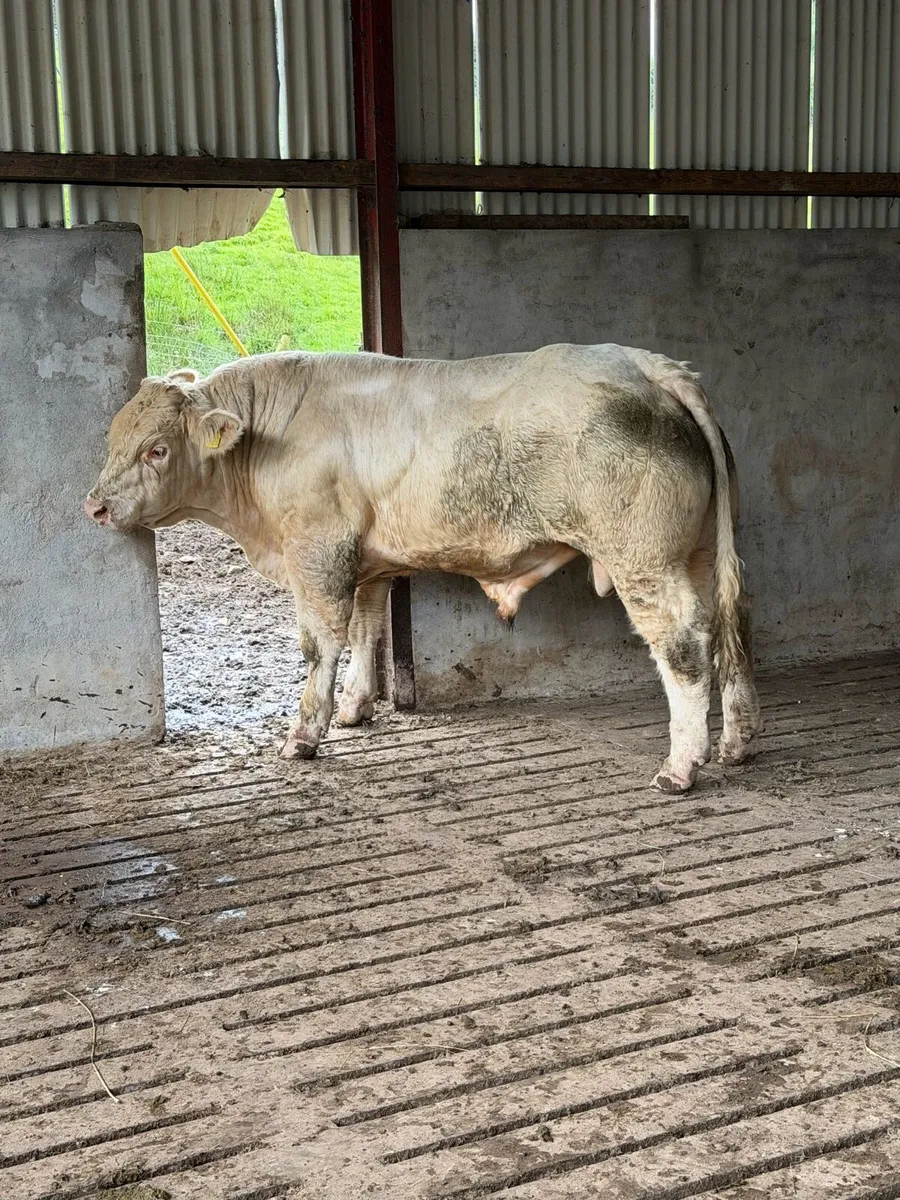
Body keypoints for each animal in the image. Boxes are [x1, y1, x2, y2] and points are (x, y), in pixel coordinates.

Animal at [84, 345, 761, 793]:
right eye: (113, 440)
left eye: (157, 450)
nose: (95, 506)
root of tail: (646, 364)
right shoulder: (368, 563)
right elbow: (367, 630)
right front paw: (355, 707)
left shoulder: (318, 553)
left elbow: (320, 643)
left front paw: (304, 734)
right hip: (700, 552)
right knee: (727, 630)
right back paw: (736, 743)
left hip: (643, 558)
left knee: (683, 643)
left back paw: (681, 765)